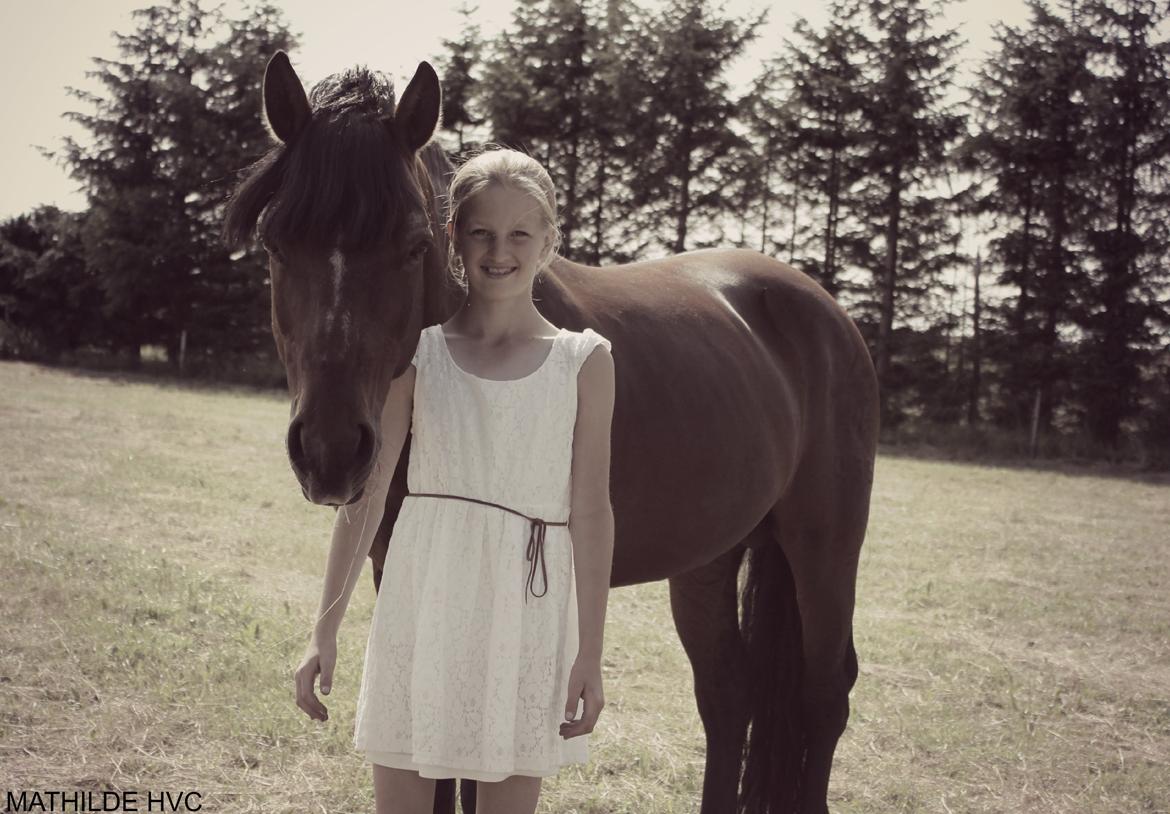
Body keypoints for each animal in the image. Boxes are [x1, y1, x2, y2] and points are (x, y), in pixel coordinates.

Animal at [223, 52, 879, 814]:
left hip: (823, 546)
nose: (331, 453)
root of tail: (826, 312)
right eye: (276, 243)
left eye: (414, 245)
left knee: (822, 697)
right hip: (710, 559)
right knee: (728, 694)